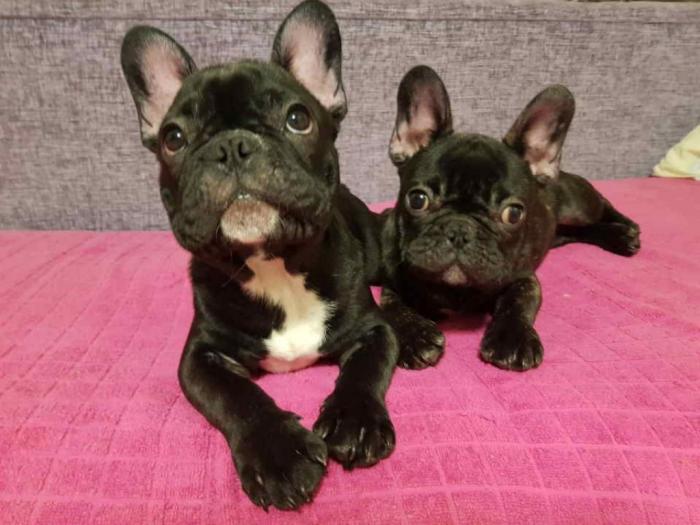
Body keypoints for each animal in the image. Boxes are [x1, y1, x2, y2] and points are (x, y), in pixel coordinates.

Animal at [120, 0, 397, 510]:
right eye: (173, 138)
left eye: (297, 118)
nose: (232, 145)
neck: (275, 264)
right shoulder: (201, 356)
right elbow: (237, 397)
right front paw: (278, 454)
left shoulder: (372, 331)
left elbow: (366, 369)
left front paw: (355, 421)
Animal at [378, 65, 640, 371]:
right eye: (418, 199)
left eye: (513, 213)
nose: (459, 230)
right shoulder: (393, 283)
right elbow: (393, 307)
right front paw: (414, 334)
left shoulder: (525, 278)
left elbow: (517, 302)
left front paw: (512, 339)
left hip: (578, 205)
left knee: (602, 206)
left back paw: (625, 232)